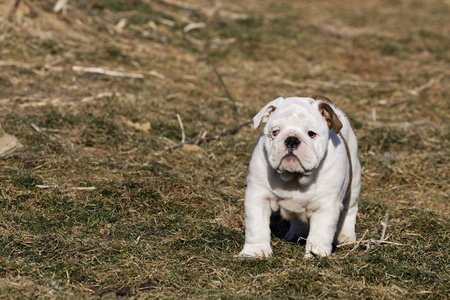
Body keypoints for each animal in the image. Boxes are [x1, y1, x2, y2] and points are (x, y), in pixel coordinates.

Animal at [239, 95, 362, 258]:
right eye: (275, 132)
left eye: (311, 133)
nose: (292, 139)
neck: (294, 178)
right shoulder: (258, 197)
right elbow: (256, 227)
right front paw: (255, 252)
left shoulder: (325, 206)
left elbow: (320, 234)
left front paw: (316, 255)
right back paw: (297, 233)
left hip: (354, 181)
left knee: (350, 208)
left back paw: (346, 236)